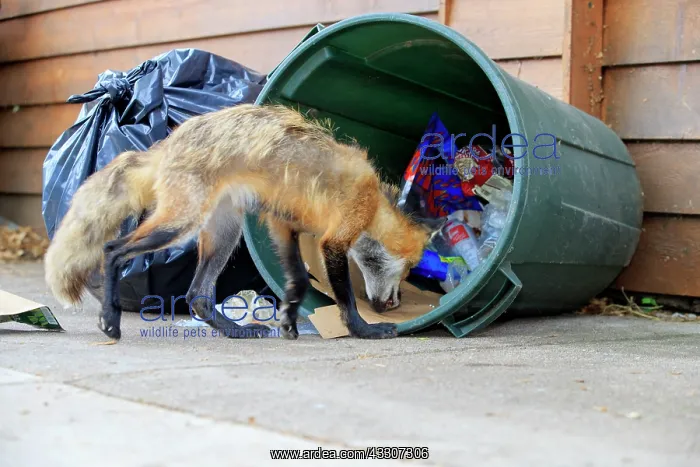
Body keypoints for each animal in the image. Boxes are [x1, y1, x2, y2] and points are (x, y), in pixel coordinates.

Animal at [44, 104, 431, 341]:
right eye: (409, 271)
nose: (391, 306)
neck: (375, 204)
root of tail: (167, 143)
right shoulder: (336, 237)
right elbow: (345, 299)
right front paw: (363, 329)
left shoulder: (282, 225)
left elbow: (297, 283)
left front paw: (289, 321)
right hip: (180, 224)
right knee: (112, 250)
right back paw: (110, 319)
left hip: (224, 232)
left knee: (198, 297)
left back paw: (237, 331)